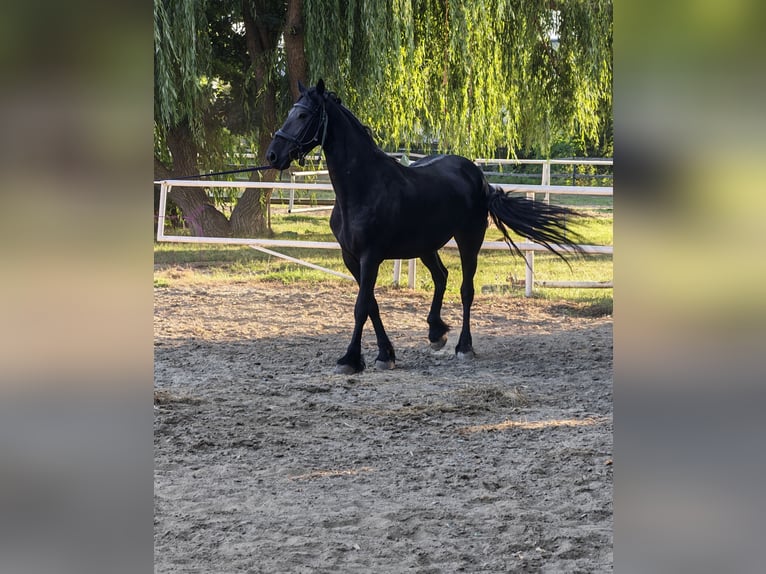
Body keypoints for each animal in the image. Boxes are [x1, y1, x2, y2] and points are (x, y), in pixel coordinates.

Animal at [266, 79, 583, 374]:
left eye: (303, 115)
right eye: (290, 113)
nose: (272, 155)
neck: (364, 187)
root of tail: (479, 178)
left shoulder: (371, 257)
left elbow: (361, 307)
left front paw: (350, 360)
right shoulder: (351, 258)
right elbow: (372, 304)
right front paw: (385, 355)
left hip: (469, 240)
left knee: (466, 290)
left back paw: (463, 347)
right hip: (425, 246)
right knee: (441, 276)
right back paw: (435, 332)